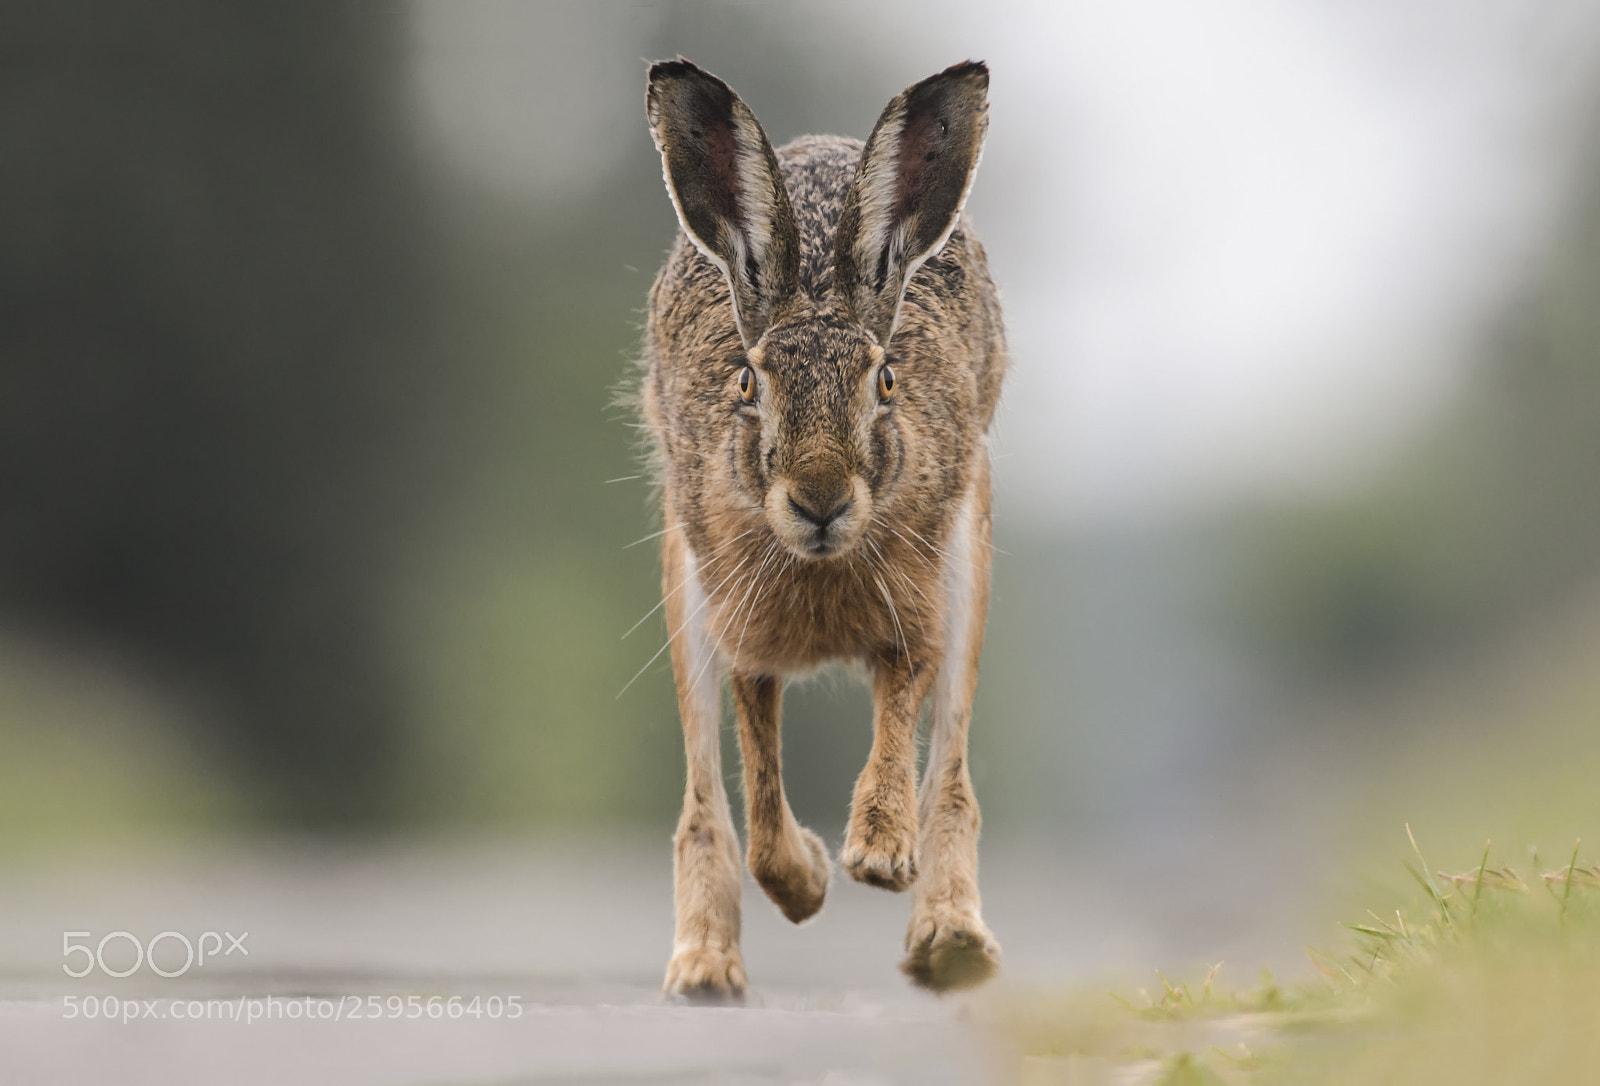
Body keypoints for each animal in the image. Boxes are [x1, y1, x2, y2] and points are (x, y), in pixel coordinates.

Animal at [640, 57, 1006, 1002]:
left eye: (884, 382)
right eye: (747, 382)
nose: (819, 498)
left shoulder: (919, 609)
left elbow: (900, 713)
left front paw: (877, 852)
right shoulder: (740, 630)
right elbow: (760, 785)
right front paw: (805, 881)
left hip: (971, 558)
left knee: (953, 770)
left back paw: (950, 939)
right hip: (681, 583)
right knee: (704, 796)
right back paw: (703, 965)